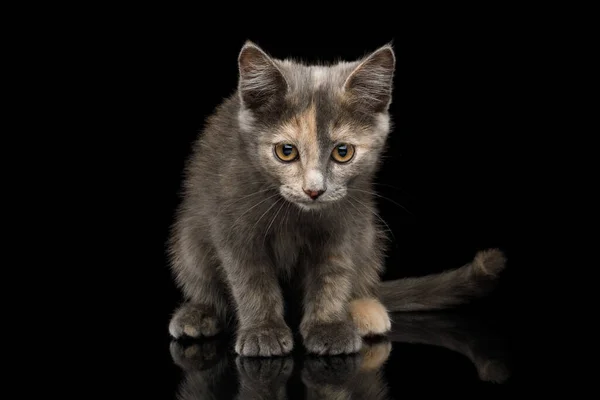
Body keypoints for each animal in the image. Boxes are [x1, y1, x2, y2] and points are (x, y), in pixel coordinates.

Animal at [165, 40, 506, 356]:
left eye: (343, 152)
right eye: (286, 151)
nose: (314, 189)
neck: (297, 214)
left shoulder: (345, 223)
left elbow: (333, 274)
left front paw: (328, 326)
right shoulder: (231, 219)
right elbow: (251, 278)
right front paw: (263, 331)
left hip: (369, 234)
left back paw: (365, 312)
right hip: (188, 237)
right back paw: (199, 313)